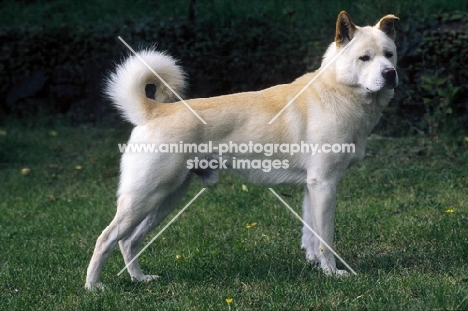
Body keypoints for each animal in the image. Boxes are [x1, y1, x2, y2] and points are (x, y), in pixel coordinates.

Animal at [85, 11, 398, 292]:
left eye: (390, 54)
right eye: (364, 58)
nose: (390, 73)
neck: (336, 92)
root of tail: (154, 111)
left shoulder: (314, 187)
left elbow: (311, 235)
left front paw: (315, 267)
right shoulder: (325, 184)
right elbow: (326, 239)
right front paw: (333, 274)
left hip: (165, 199)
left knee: (128, 241)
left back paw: (139, 279)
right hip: (145, 197)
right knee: (106, 239)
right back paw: (93, 287)